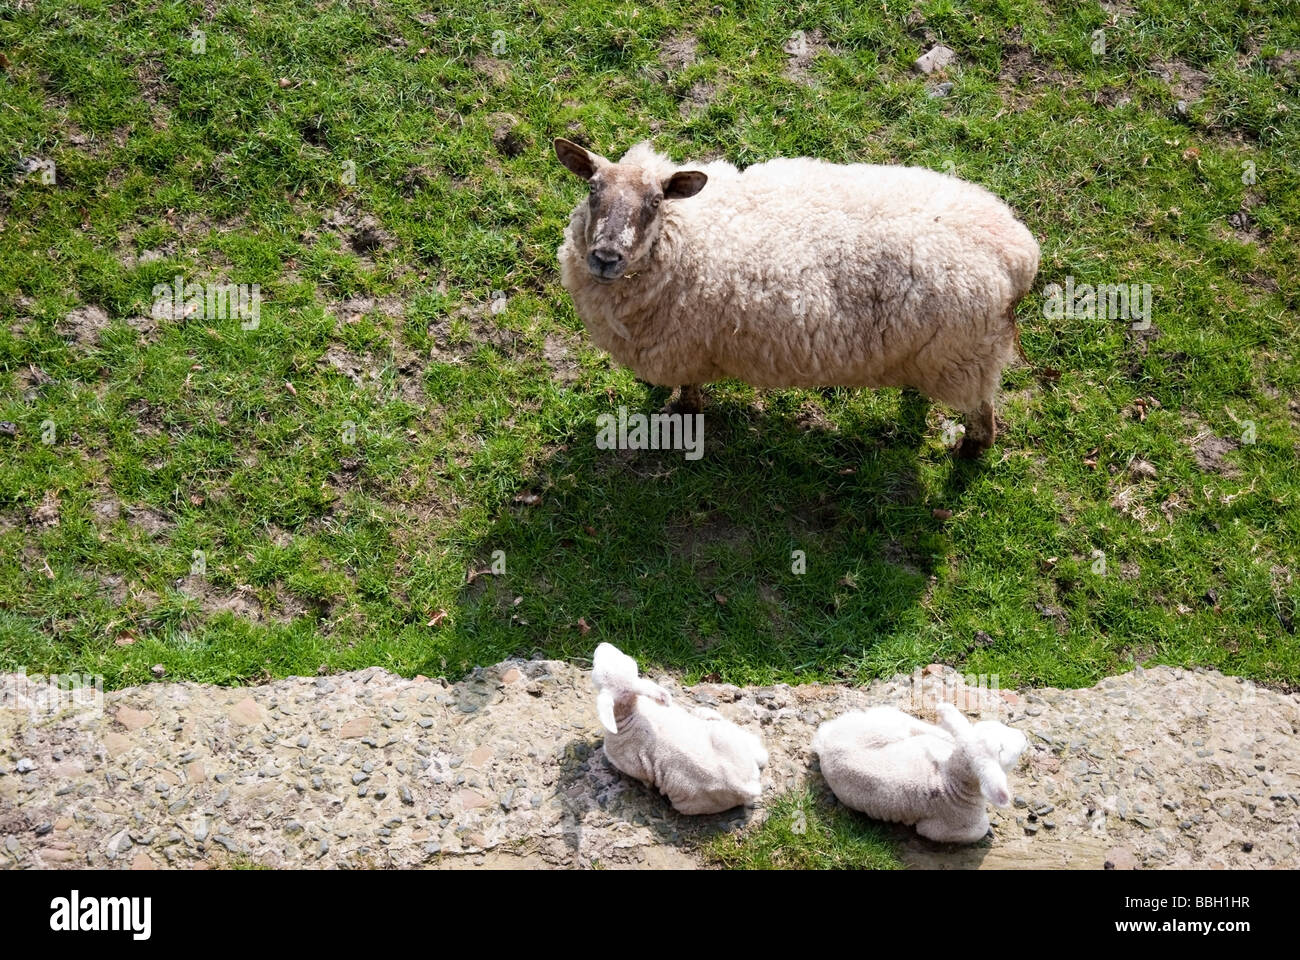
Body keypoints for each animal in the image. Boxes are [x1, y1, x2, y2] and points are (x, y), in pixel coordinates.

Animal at [553, 135, 1040, 460]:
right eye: (592, 189)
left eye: (655, 202)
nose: (605, 257)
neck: (690, 234)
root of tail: (1017, 253)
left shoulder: (686, 348)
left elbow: (690, 391)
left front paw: (683, 411)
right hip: (942, 352)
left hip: (965, 356)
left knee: (983, 413)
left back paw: (969, 450)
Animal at [592, 640, 764, 811]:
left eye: (595, 667)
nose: (602, 644)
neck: (631, 712)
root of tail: (747, 787)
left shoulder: (623, 760)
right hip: (727, 737)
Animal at [811, 697, 1024, 842]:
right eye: (1004, 751)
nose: (1024, 737)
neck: (951, 778)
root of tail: (825, 745)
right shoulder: (952, 828)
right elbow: (980, 828)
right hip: (891, 723)